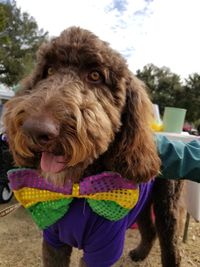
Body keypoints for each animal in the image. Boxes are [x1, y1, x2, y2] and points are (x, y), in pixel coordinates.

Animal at [3, 27, 182, 267]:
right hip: (142, 205)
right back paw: (140, 253)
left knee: (169, 244)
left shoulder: (104, 248)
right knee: (149, 229)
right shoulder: (53, 242)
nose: (35, 130)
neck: (77, 188)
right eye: (49, 70)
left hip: (166, 206)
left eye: (95, 75)